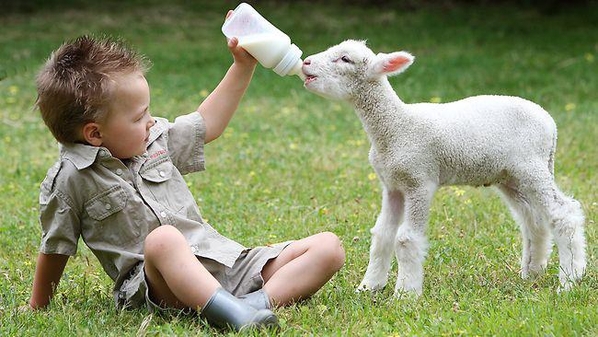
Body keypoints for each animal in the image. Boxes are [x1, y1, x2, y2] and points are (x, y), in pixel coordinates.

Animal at [302, 39, 588, 296]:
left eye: (345, 59)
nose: (305, 62)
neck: (395, 127)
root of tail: (550, 123)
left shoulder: (419, 181)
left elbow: (405, 239)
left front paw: (405, 294)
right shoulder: (393, 185)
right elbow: (382, 235)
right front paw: (369, 287)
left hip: (532, 166)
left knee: (564, 214)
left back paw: (569, 280)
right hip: (511, 176)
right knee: (534, 220)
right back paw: (532, 272)